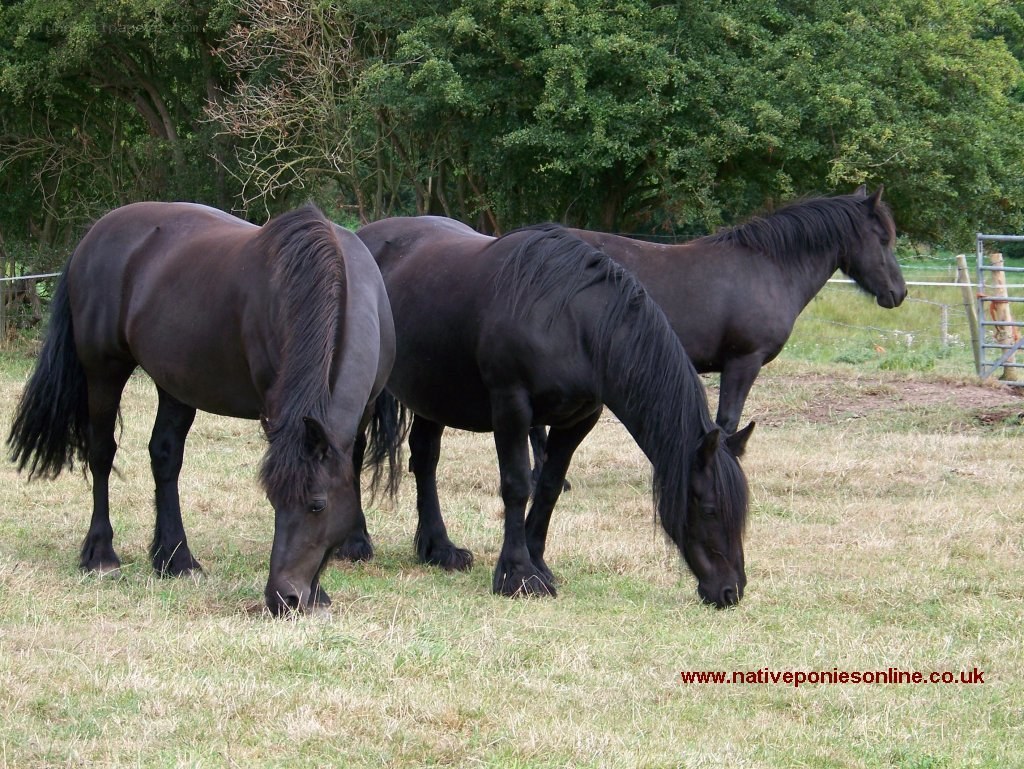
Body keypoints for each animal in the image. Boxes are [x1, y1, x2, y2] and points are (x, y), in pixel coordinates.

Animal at [7, 202, 397, 615]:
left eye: (318, 505)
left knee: (164, 457)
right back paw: (101, 555)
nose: (283, 598)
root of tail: (93, 236)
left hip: (175, 383)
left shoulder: (363, 410)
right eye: (273, 501)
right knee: (101, 454)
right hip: (103, 370)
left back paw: (175, 560)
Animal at [355, 216, 753, 607]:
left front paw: (538, 564)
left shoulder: (579, 420)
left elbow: (548, 487)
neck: (570, 321)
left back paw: (439, 549)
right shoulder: (512, 407)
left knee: (425, 459)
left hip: (433, 394)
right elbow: (516, 485)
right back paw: (356, 541)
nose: (730, 591)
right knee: (355, 452)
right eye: (709, 509)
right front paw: (518, 575)